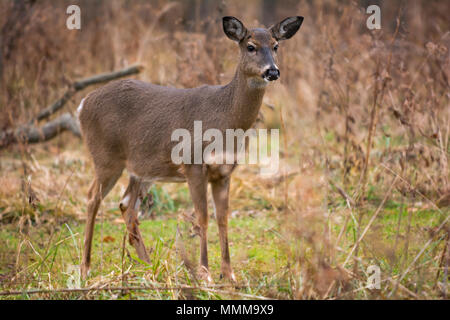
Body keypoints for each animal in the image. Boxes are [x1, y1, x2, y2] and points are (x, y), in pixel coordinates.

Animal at [79, 15, 304, 282]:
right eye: (251, 46)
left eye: (276, 45)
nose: (272, 71)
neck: (226, 119)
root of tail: (82, 105)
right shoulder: (193, 163)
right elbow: (203, 217)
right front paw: (205, 273)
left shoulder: (224, 171)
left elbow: (222, 218)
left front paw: (229, 275)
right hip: (106, 156)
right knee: (92, 197)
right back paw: (85, 268)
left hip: (142, 168)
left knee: (127, 204)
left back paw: (148, 265)